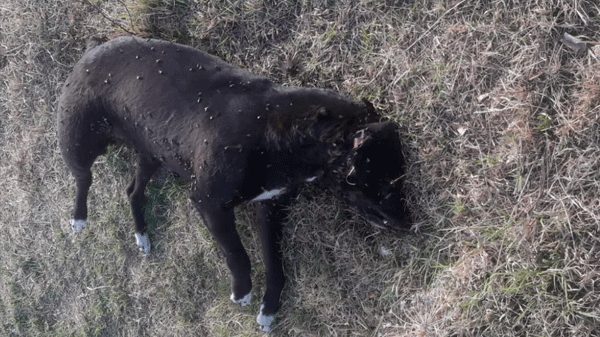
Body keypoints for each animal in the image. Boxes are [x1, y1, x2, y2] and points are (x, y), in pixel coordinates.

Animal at [58, 36, 410, 330]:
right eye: (385, 183)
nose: (409, 225)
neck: (277, 129)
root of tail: (90, 50)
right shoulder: (208, 202)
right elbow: (237, 253)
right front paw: (242, 292)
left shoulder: (269, 208)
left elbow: (274, 263)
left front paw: (269, 309)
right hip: (78, 143)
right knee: (83, 179)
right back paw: (79, 218)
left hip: (151, 154)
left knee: (133, 192)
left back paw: (141, 234)